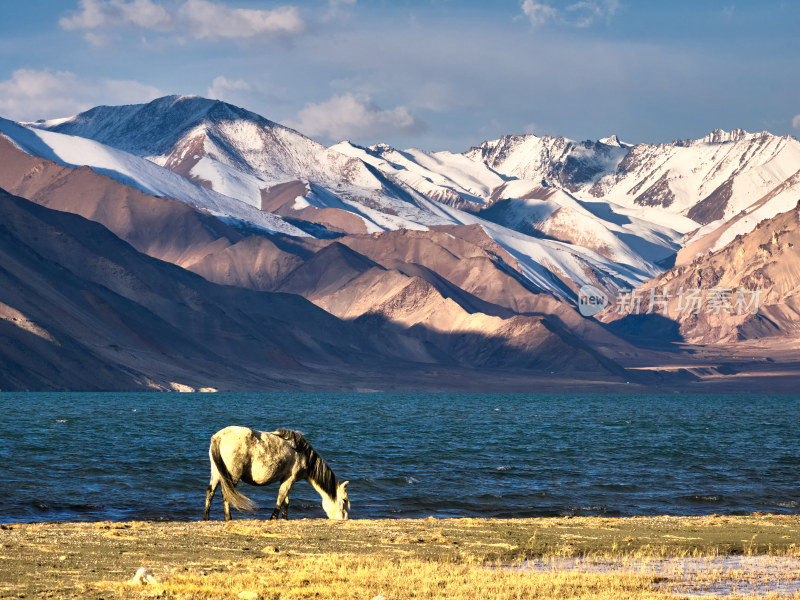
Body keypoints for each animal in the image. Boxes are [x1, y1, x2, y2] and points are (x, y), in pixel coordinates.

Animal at [202, 426, 348, 520]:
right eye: (345, 500)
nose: (344, 519)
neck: (302, 453)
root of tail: (219, 437)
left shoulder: (287, 480)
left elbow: (286, 501)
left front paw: (284, 518)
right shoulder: (289, 479)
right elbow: (281, 498)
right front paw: (273, 518)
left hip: (216, 473)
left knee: (210, 492)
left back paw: (206, 518)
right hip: (232, 475)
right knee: (227, 493)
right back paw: (228, 518)